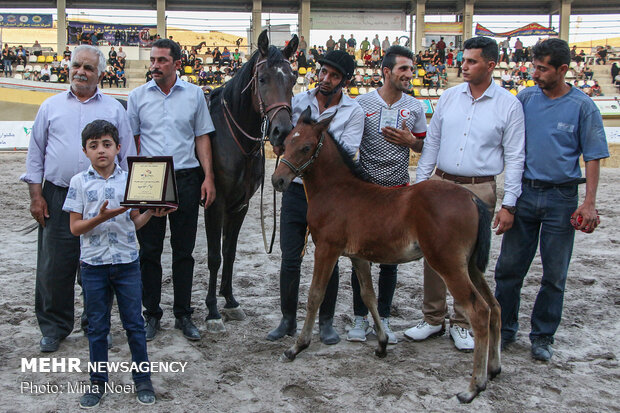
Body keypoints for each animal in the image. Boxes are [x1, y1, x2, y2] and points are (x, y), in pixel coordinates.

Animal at [205, 30, 300, 330]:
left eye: (293, 78)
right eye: (262, 79)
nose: (282, 132)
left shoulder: (240, 206)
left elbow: (230, 252)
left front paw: (230, 302)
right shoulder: (215, 205)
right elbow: (215, 256)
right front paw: (212, 312)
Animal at [272, 108, 504, 404]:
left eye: (306, 147)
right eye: (287, 141)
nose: (278, 180)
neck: (337, 190)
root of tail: (471, 198)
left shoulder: (327, 248)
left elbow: (315, 295)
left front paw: (296, 347)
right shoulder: (358, 256)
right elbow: (369, 295)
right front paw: (381, 344)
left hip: (449, 264)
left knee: (479, 311)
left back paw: (473, 387)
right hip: (471, 265)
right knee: (495, 306)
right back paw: (494, 369)